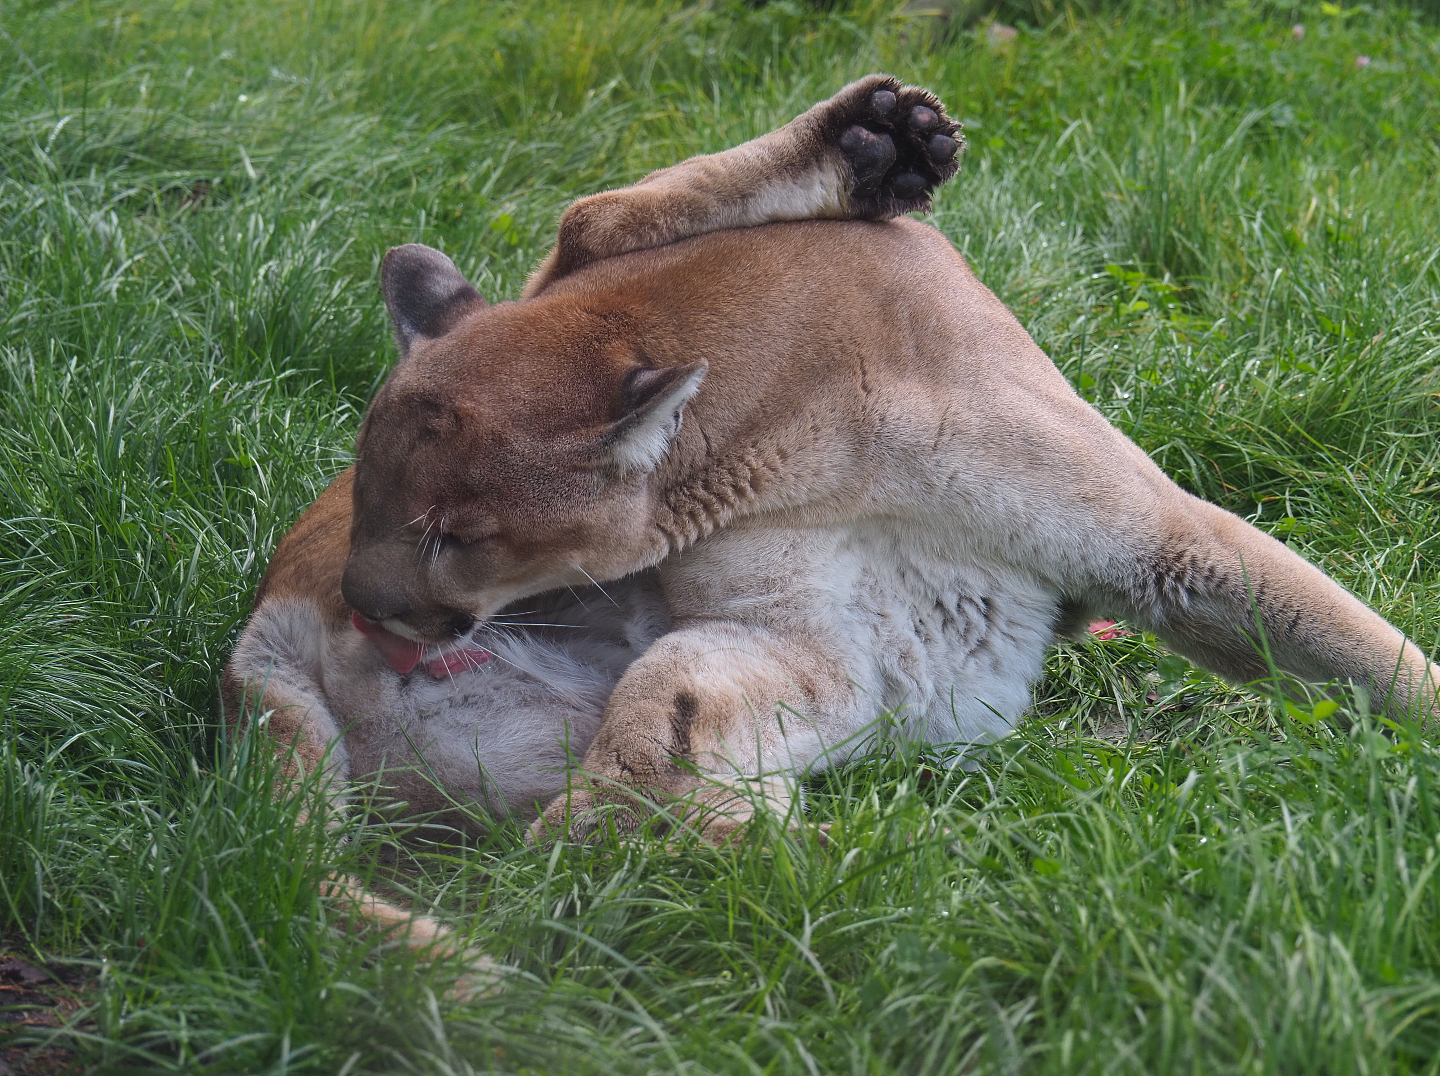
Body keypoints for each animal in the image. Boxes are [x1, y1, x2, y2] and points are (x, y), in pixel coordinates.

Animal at [225, 75, 1438, 957]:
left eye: (456, 534)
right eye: (371, 493)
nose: (370, 607)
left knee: (591, 222)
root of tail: (262, 630)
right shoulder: (810, 631)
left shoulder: (1146, 544)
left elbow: (1359, 649)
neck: (804, 422)